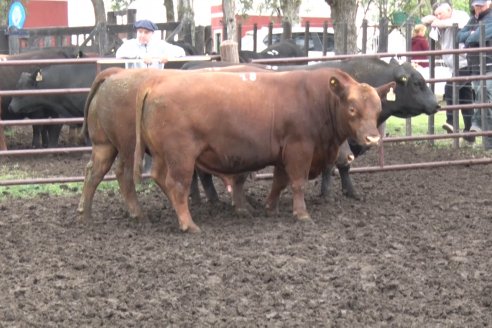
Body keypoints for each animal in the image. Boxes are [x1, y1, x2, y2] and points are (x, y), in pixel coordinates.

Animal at [133, 69, 394, 233]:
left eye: (378, 108)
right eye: (352, 108)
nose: (373, 138)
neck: (317, 99)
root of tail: (156, 84)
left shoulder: (283, 153)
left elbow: (279, 181)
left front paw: (270, 207)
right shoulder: (300, 148)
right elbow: (297, 182)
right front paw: (302, 214)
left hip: (161, 156)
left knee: (160, 179)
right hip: (181, 156)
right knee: (177, 185)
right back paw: (189, 224)